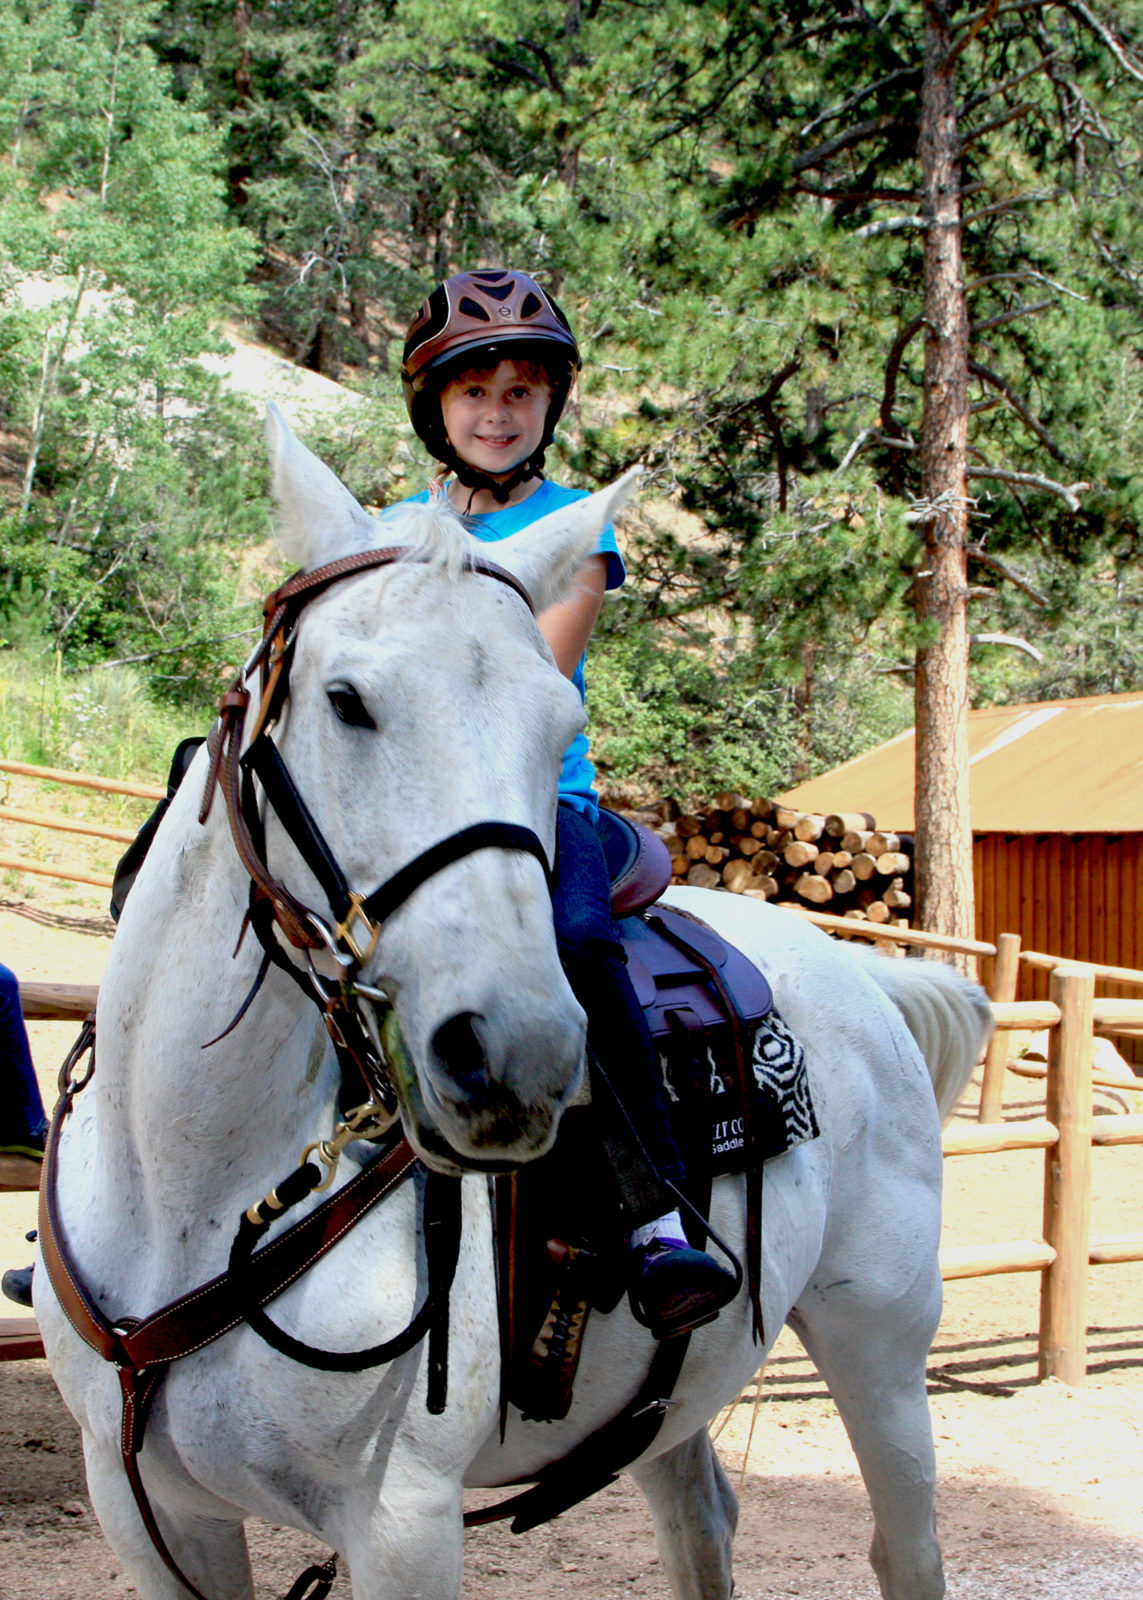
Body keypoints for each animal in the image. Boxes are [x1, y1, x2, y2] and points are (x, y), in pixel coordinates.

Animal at [35, 412, 986, 1600]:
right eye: (346, 700)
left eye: (558, 720)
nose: (517, 1057)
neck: (190, 1194)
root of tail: (862, 972)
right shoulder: (145, 1511)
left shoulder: (400, 1524)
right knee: (701, 1518)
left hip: (882, 1346)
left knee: (905, 1544)